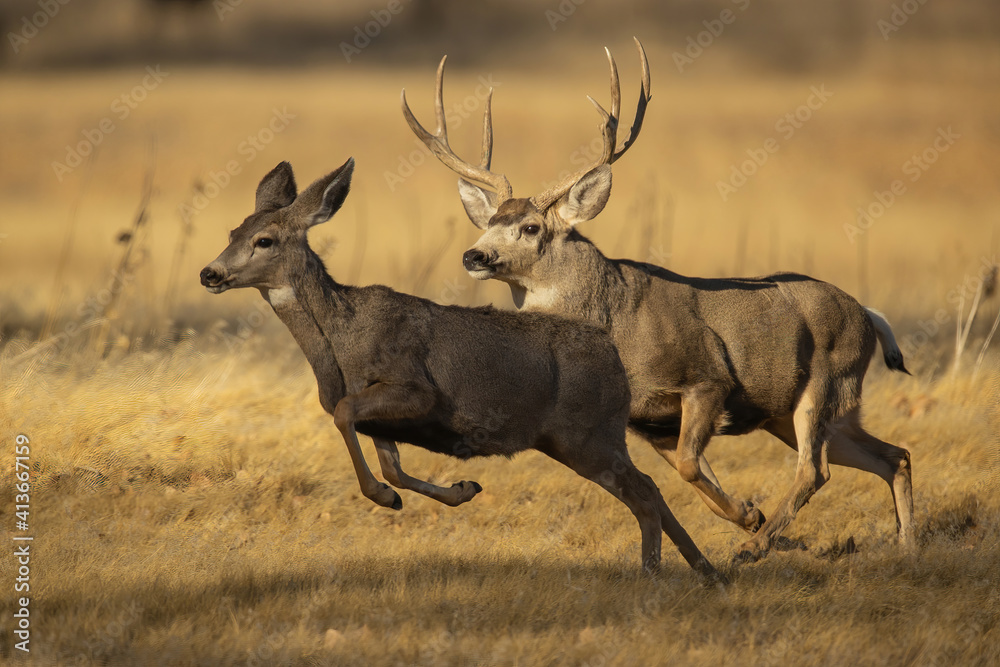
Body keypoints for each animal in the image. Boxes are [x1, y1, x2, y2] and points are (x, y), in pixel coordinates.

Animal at [199, 157, 724, 581]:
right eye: (231, 233)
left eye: (264, 240)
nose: (210, 273)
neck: (341, 341)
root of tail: (611, 352)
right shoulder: (383, 421)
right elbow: (390, 463)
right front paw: (459, 489)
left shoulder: (414, 387)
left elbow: (347, 416)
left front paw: (387, 498)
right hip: (580, 439)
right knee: (650, 488)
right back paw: (706, 571)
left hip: (588, 434)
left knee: (644, 490)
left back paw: (654, 572)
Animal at [402, 39, 915, 563]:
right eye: (487, 222)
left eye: (530, 227)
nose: (474, 255)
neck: (615, 324)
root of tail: (867, 313)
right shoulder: (649, 422)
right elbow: (685, 477)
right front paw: (745, 512)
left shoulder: (708, 376)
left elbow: (690, 465)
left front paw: (750, 517)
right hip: (794, 411)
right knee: (893, 456)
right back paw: (906, 545)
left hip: (824, 383)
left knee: (816, 469)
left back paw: (754, 548)